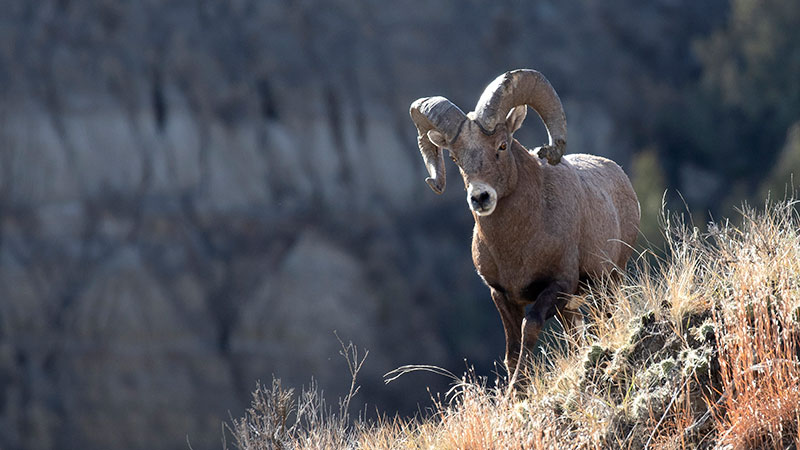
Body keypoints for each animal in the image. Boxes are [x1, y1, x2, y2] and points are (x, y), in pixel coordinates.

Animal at [409, 69, 640, 387]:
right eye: (455, 157)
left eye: (502, 145)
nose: (480, 197)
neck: (517, 246)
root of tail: (619, 174)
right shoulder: (501, 295)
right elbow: (512, 350)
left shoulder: (558, 286)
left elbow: (529, 329)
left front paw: (518, 389)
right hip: (577, 304)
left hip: (609, 282)